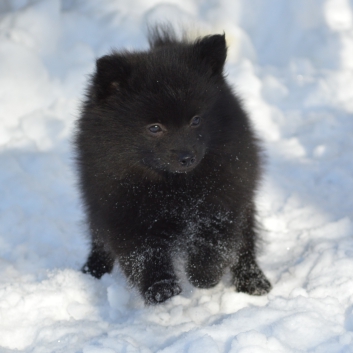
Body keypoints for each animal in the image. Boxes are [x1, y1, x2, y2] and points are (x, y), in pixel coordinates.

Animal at [75, 26, 270, 302]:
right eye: (155, 128)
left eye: (196, 120)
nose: (187, 157)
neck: (174, 185)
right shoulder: (122, 208)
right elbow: (143, 252)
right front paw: (160, 287)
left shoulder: (225, 195)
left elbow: (214, 238)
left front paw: (204, 274)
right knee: (98, 238)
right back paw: (93, 270)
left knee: (245, 244)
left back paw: (253, 281)